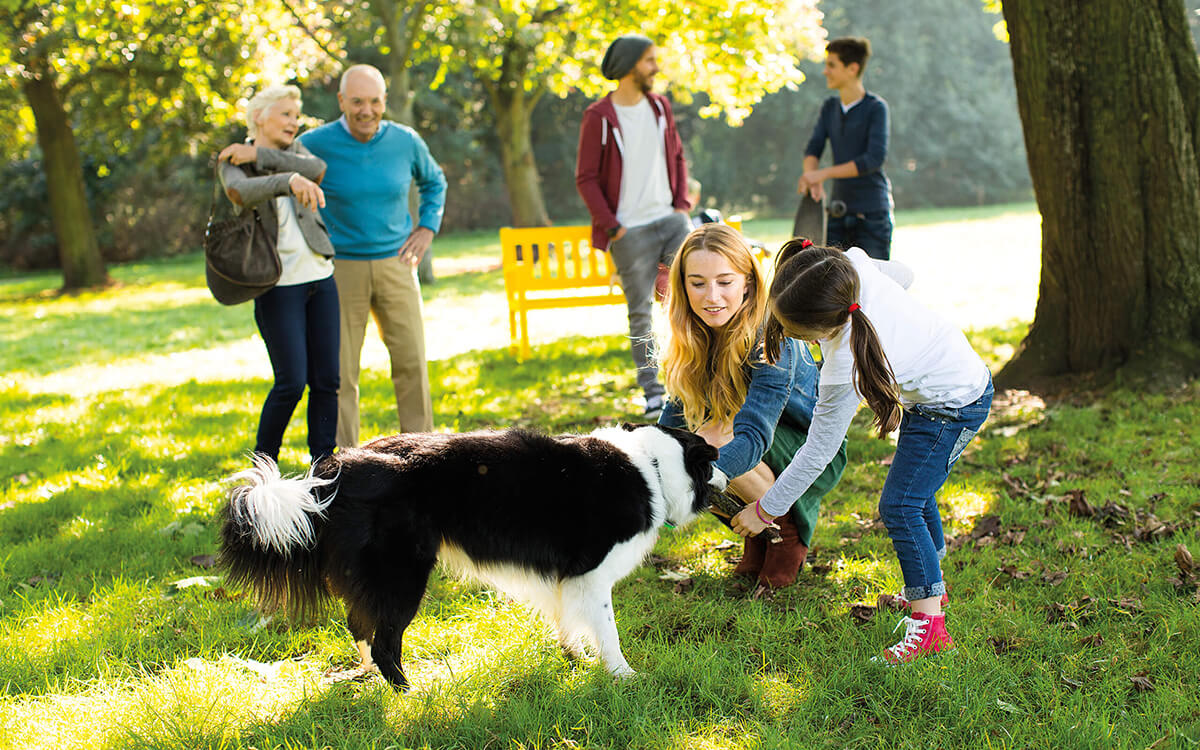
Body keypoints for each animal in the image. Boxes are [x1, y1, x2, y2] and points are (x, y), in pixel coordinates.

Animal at [220, 424, 715, 686]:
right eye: (710, 462)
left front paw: (574, 658)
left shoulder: (567, 581)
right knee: (383, 639)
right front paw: (623, 675)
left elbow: (568, 622)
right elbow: (607, 632)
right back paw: (407, 693)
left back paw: (368, 677)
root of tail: (338, 468)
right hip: (404, 575)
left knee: (359, 623)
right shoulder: (591, 576)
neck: (652, 467)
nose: (726, 473)